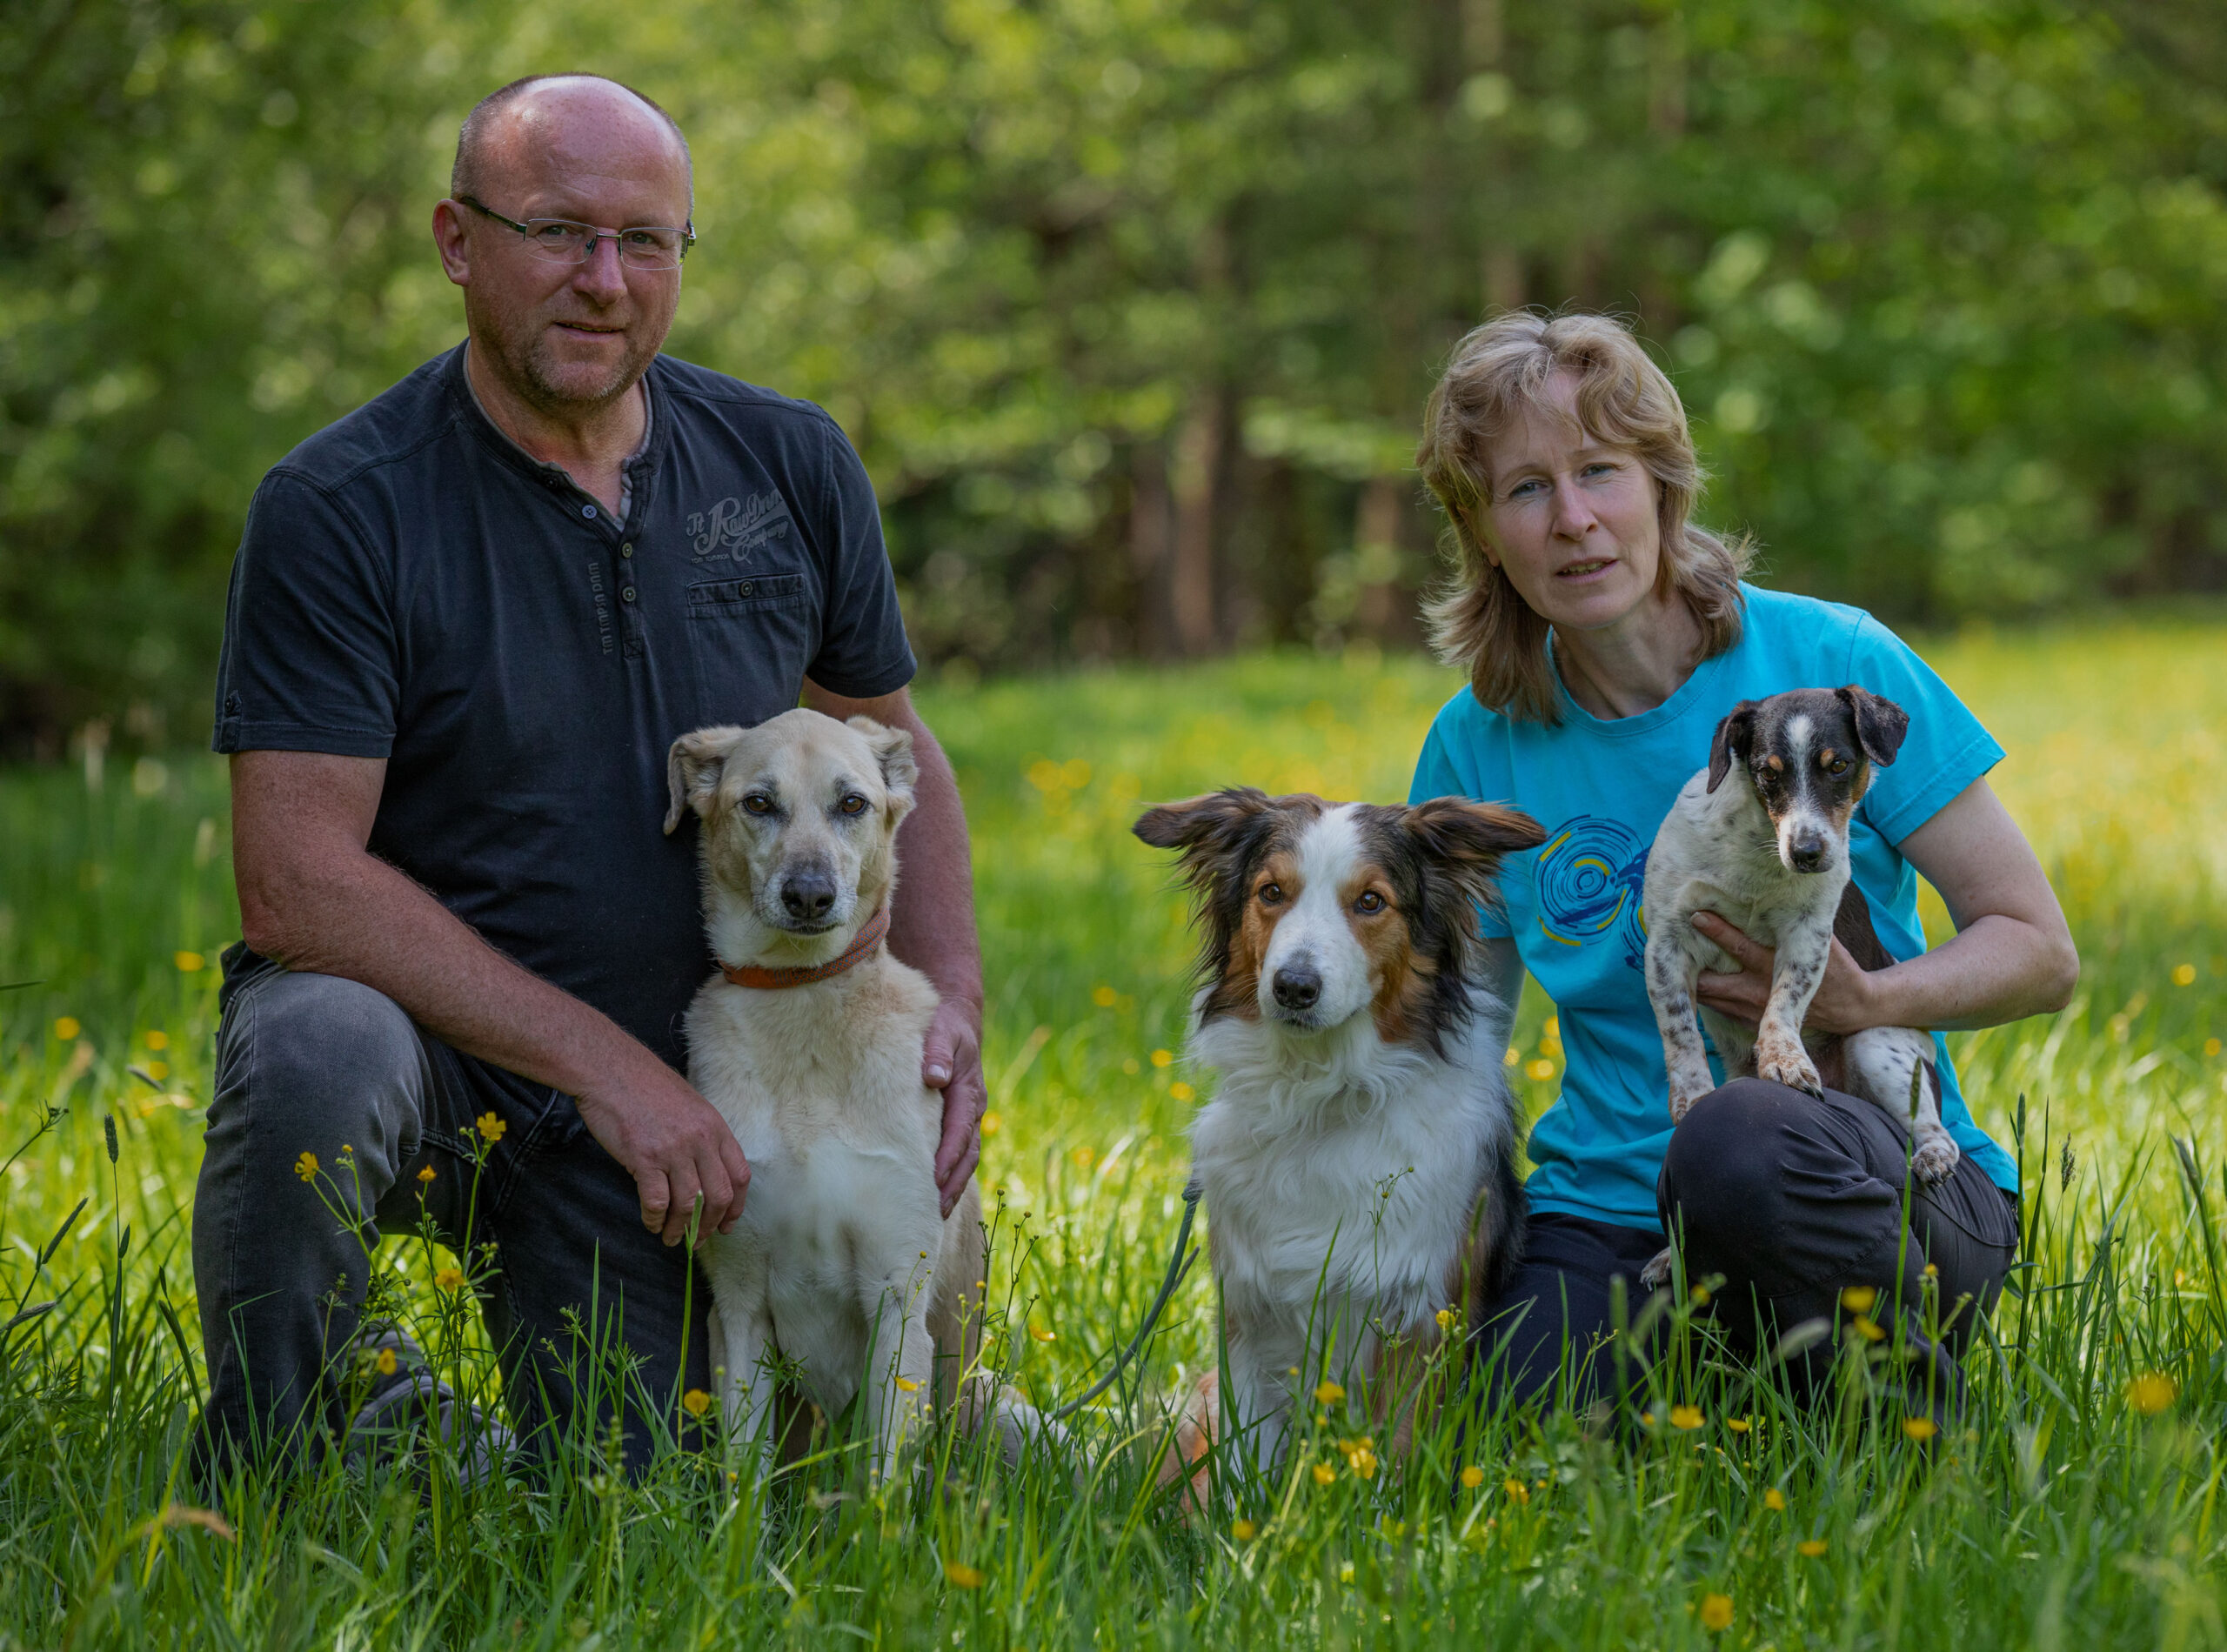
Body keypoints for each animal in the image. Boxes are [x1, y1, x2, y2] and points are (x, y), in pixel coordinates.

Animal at [659, 707, 1042, 1487]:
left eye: (853, 803)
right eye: (759, 802)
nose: (809, 894)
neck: (805, 1008)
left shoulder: (898, 1294)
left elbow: (882, 1486)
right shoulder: (738, 1306)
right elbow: (745, 1479)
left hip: (1009, 1416)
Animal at [1140, 787, 1541, 1487]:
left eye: (1371, 901)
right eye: (1272, 892)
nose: (1294, 987)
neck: (1320, 1094)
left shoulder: (1420, 1324)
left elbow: (1392, 1464)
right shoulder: (1249, 1321)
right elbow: (1238, 1469)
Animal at [1648, 686, 1959, 1220]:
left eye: (1839, 765)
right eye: (1767, 773)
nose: (1807, 853)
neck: (1760, 859)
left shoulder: (1809, 936)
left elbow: (1784, 1002)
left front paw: (1784, 1059)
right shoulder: (1667, 942)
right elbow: (1679, 1031)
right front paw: (1692, 1098)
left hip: (1878, 1049)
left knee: (1935, 1130)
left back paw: (1934, 1157)